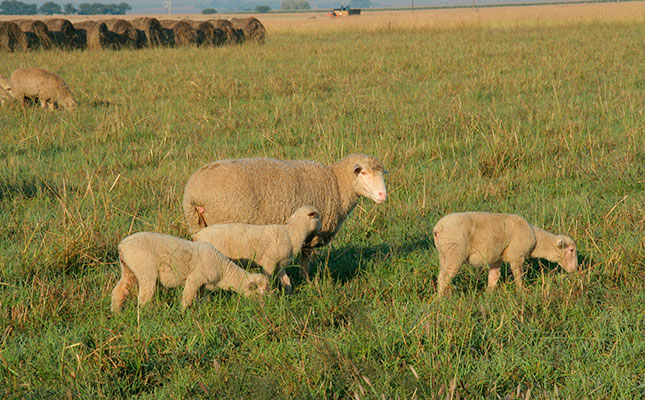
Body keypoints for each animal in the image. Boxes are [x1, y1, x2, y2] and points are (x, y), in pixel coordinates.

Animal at [110, 231, 270, 312]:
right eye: (258, 293)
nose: (264, 308)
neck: (224, 270)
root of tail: (122, 246)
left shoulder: (203, 284)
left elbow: (201, 298)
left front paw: (200, 310)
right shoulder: (195, 278)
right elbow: (187, 297)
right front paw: (183, 312)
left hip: (129, 268)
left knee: (119, 291)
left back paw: (115, 312)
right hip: (145, 269)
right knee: (144, 297)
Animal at [181, 153, 384, 278]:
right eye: (364, 173)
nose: (383, 195)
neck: (337, 184)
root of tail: (194, 193)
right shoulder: (312, 231)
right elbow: (305, 259)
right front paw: (307, 281)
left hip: (197, 225)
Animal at [191, 206, 322, 294]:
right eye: (318, 217)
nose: (321, 228)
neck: (292, 233)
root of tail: (197, 236)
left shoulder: (280, 263)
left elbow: (286, 280)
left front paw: (288, 294)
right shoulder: (268, 262)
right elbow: (269, 278)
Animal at [432, 212, 580, 296]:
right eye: (571, 250)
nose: (575, 269)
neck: (537, 240)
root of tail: (439, 228)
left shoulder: (497, 257)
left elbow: (494, 277)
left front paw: (488, 295)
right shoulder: (517, 255)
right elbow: (518, 275)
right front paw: (521, 292)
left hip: (444, 253)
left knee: (444, 274)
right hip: (455, 250)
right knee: (444, 276)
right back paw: (441, 300)